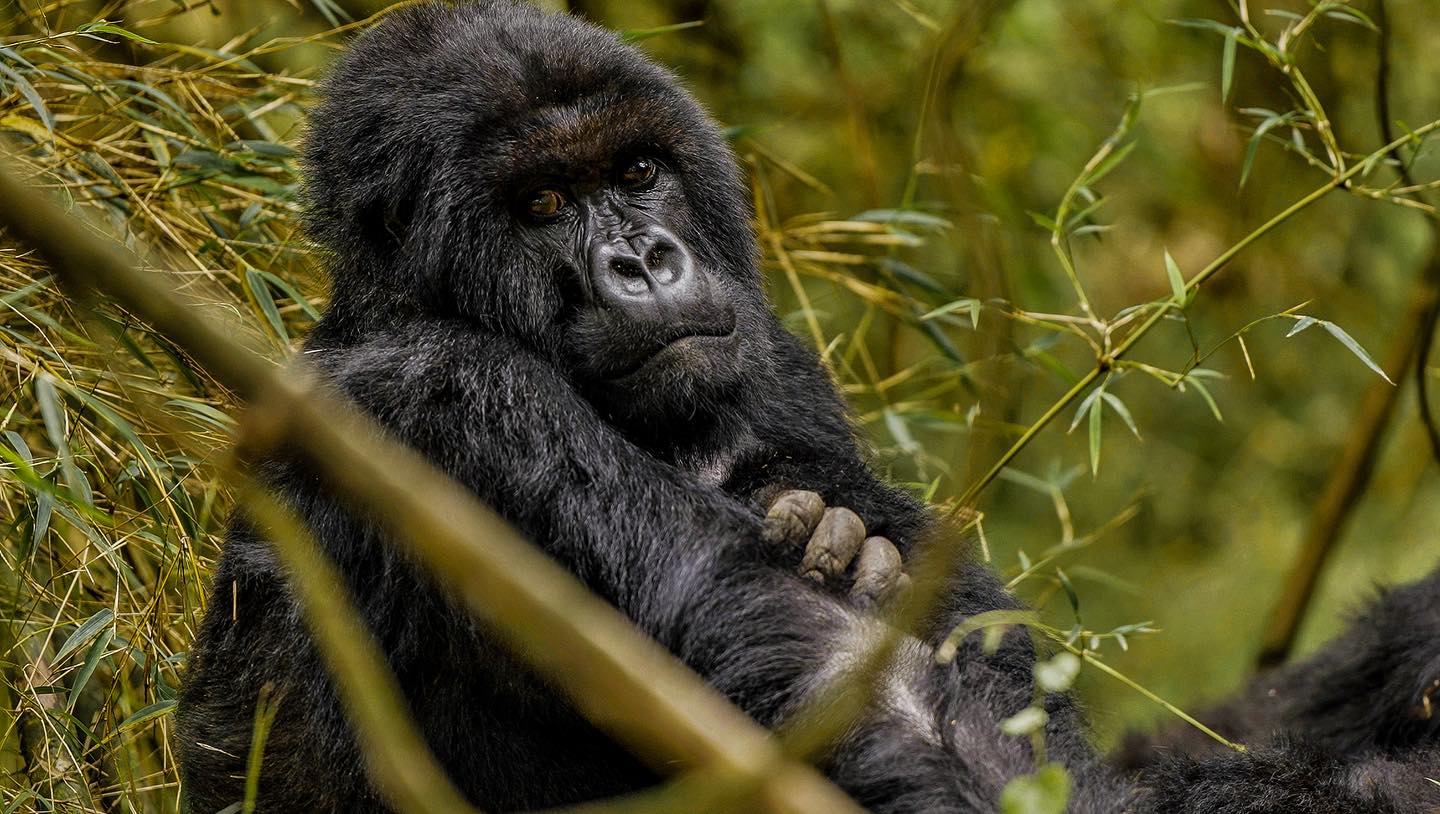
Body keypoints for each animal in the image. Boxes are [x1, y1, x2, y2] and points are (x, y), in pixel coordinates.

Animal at [174, 3, 1440, 806]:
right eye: (541, 204)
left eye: (637, 172)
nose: (645, 262)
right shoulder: (440, 398)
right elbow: (829, 668)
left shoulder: (771, 355)